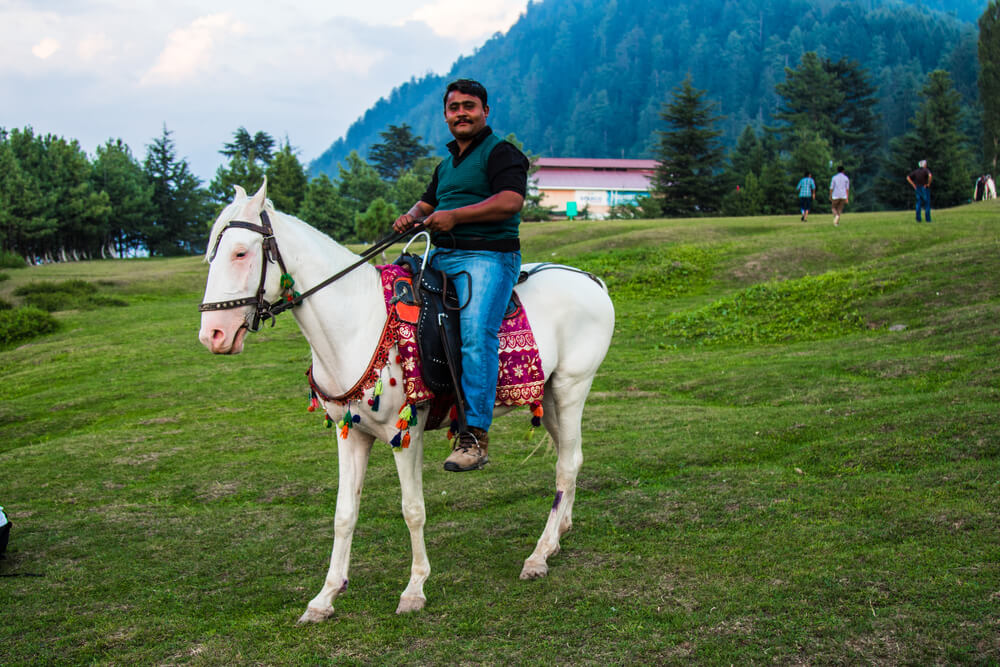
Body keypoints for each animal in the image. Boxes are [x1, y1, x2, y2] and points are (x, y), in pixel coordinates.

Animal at [199, 180, 612, 624]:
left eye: (241, 253)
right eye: (211, 253)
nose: (213, 334)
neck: (356, 323)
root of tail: (591, 279)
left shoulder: (406, 432)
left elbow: (412, 509)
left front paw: (414, 590)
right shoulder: (350, 434)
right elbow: (344, 514)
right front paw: (325, 597)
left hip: (571, 388)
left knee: (566, 467)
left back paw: (538, 555)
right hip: (550, 397)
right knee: (571, 457)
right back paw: (558, 535)